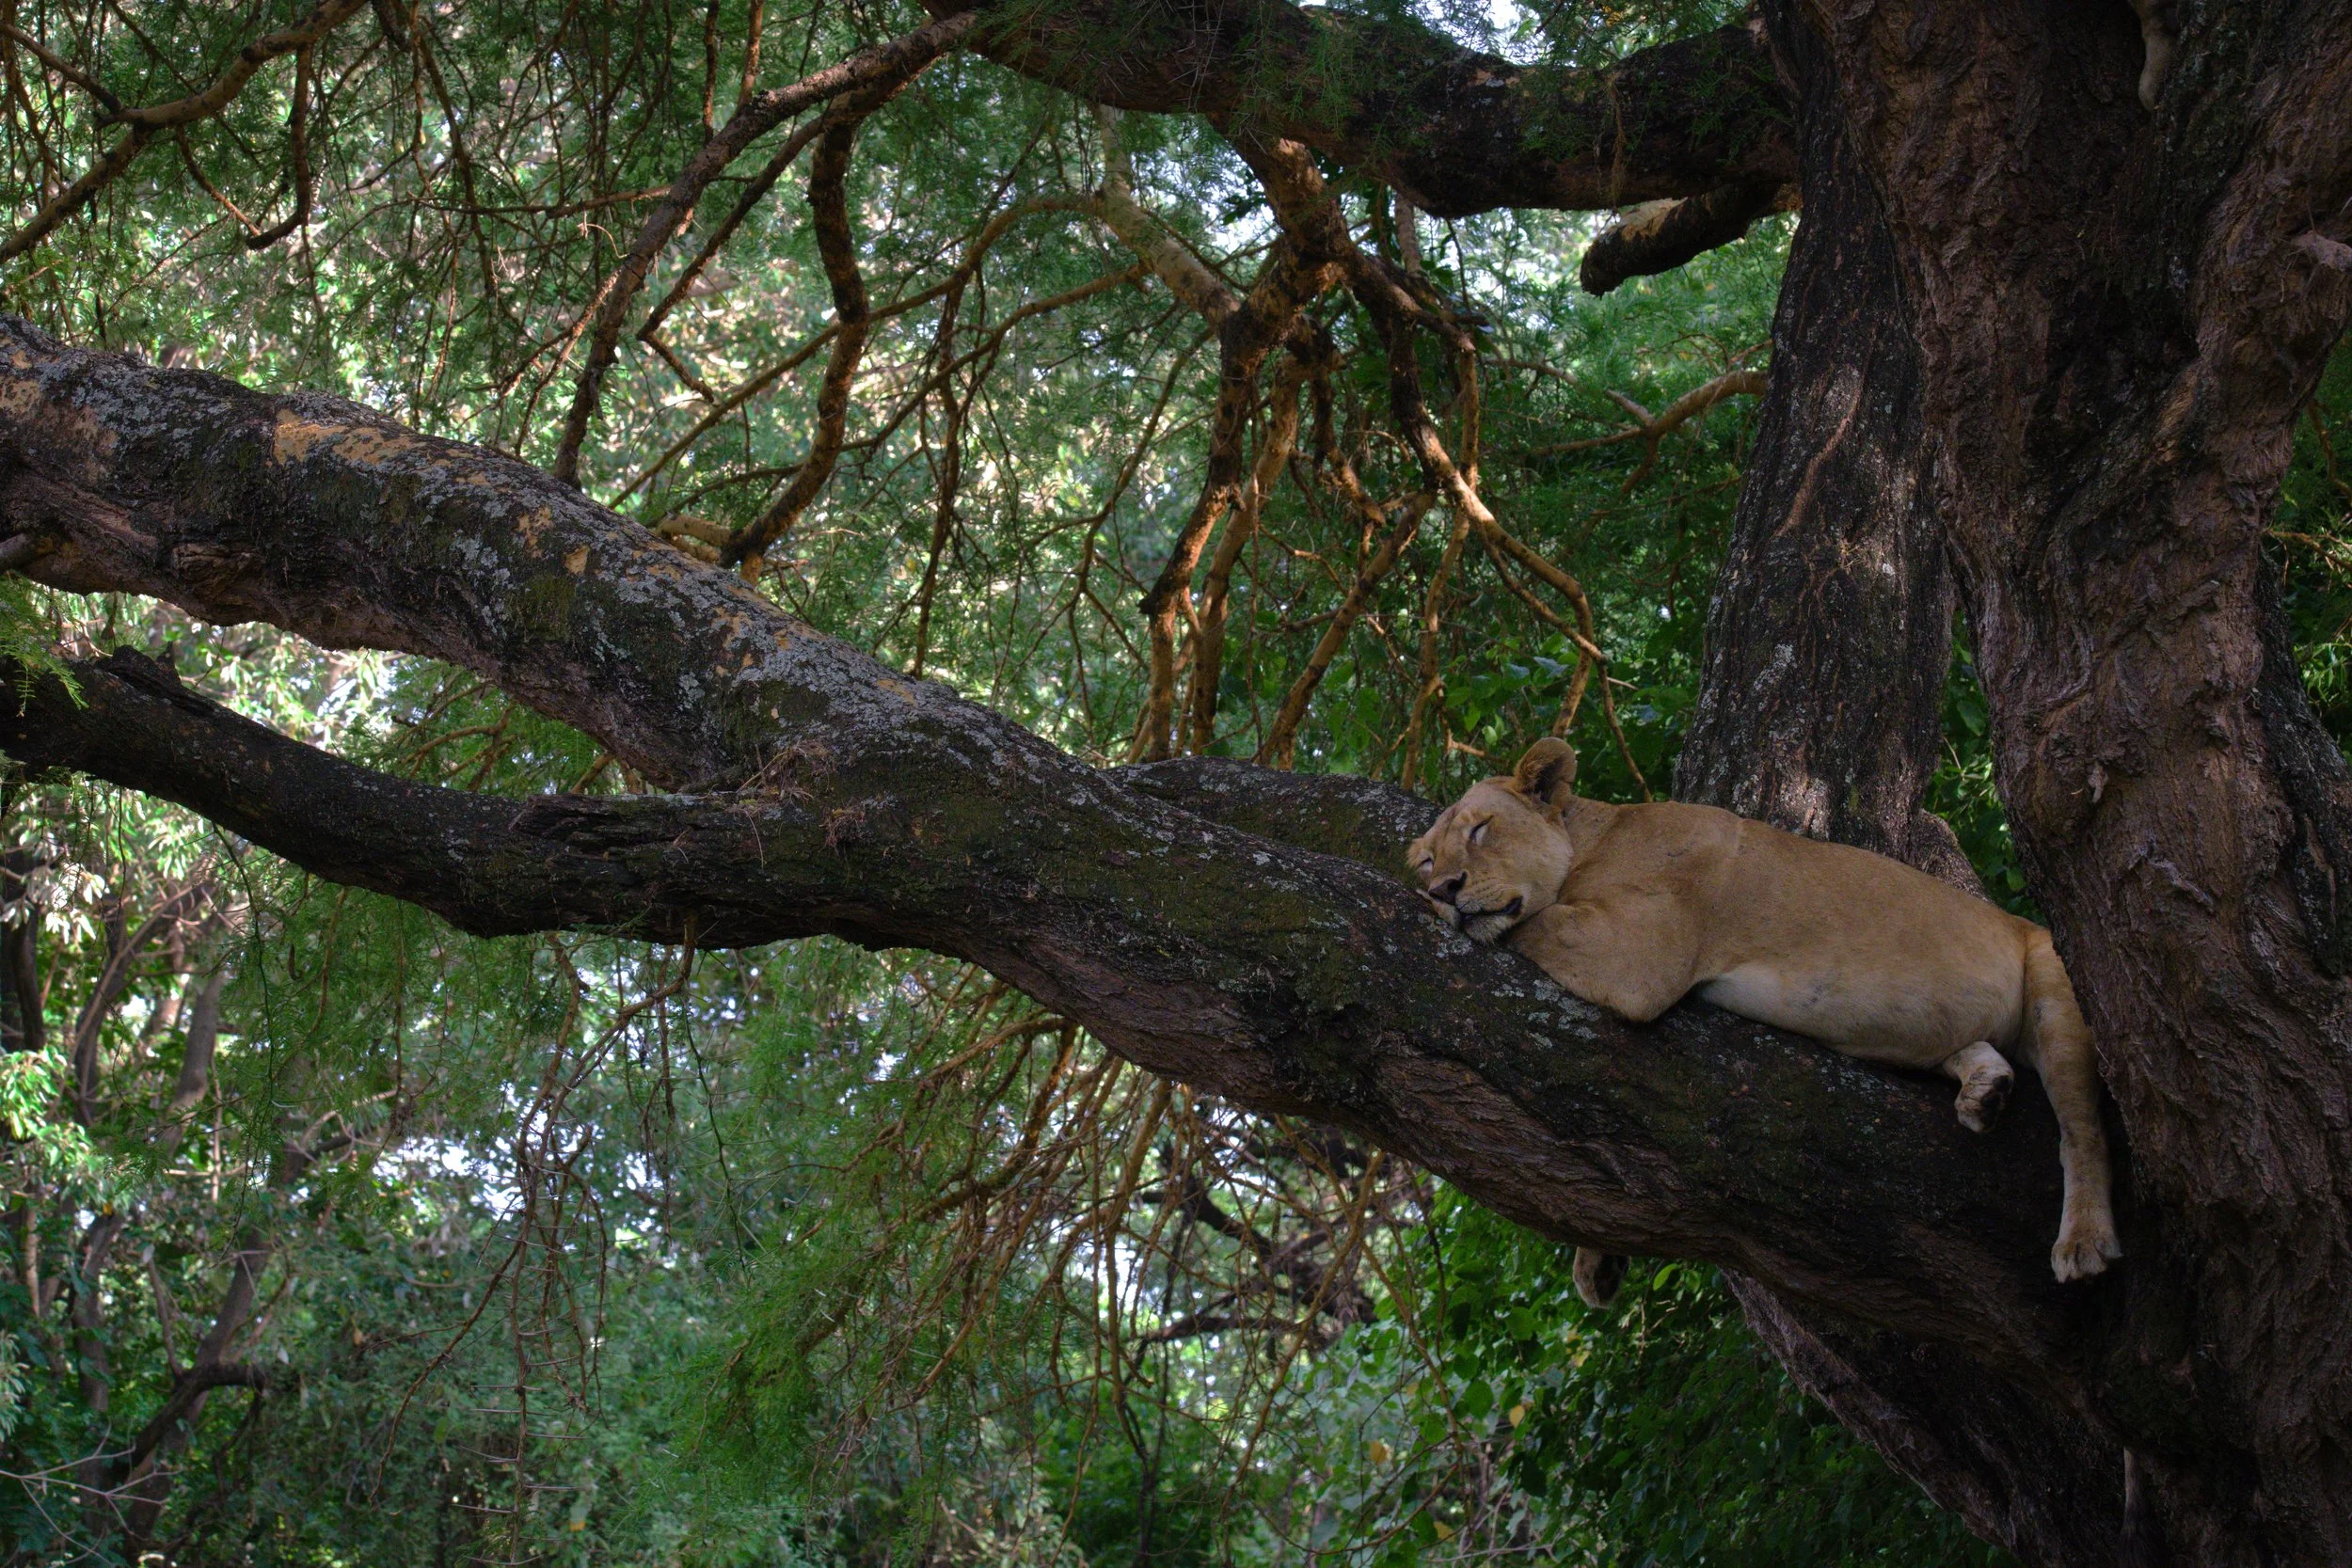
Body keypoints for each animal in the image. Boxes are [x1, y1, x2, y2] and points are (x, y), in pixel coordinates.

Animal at [1408, 739, 2121, 1304]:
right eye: (1425, 861)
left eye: (1480, 830)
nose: (1443, 891)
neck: (1592, 840)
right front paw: (1596, 1259)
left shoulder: (1638, 951)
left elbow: (1531, 922)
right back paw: (1985, 1090)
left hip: (2057, 984)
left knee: (2082, 1129)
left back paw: (2083, 1240)